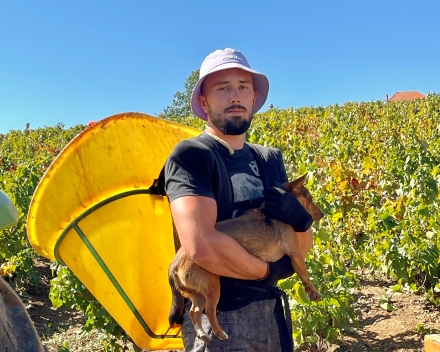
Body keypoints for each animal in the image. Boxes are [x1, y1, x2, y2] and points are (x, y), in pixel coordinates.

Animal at [168, 175, 324, 342]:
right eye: (310, 199)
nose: (322, 214)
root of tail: (175, 263)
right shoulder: (295, 254)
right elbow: (305, 276)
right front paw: (313, 292)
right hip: (212, 287)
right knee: (209, 310)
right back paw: (219, 333)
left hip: (197, 294)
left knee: (194, 312)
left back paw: (202, 333)